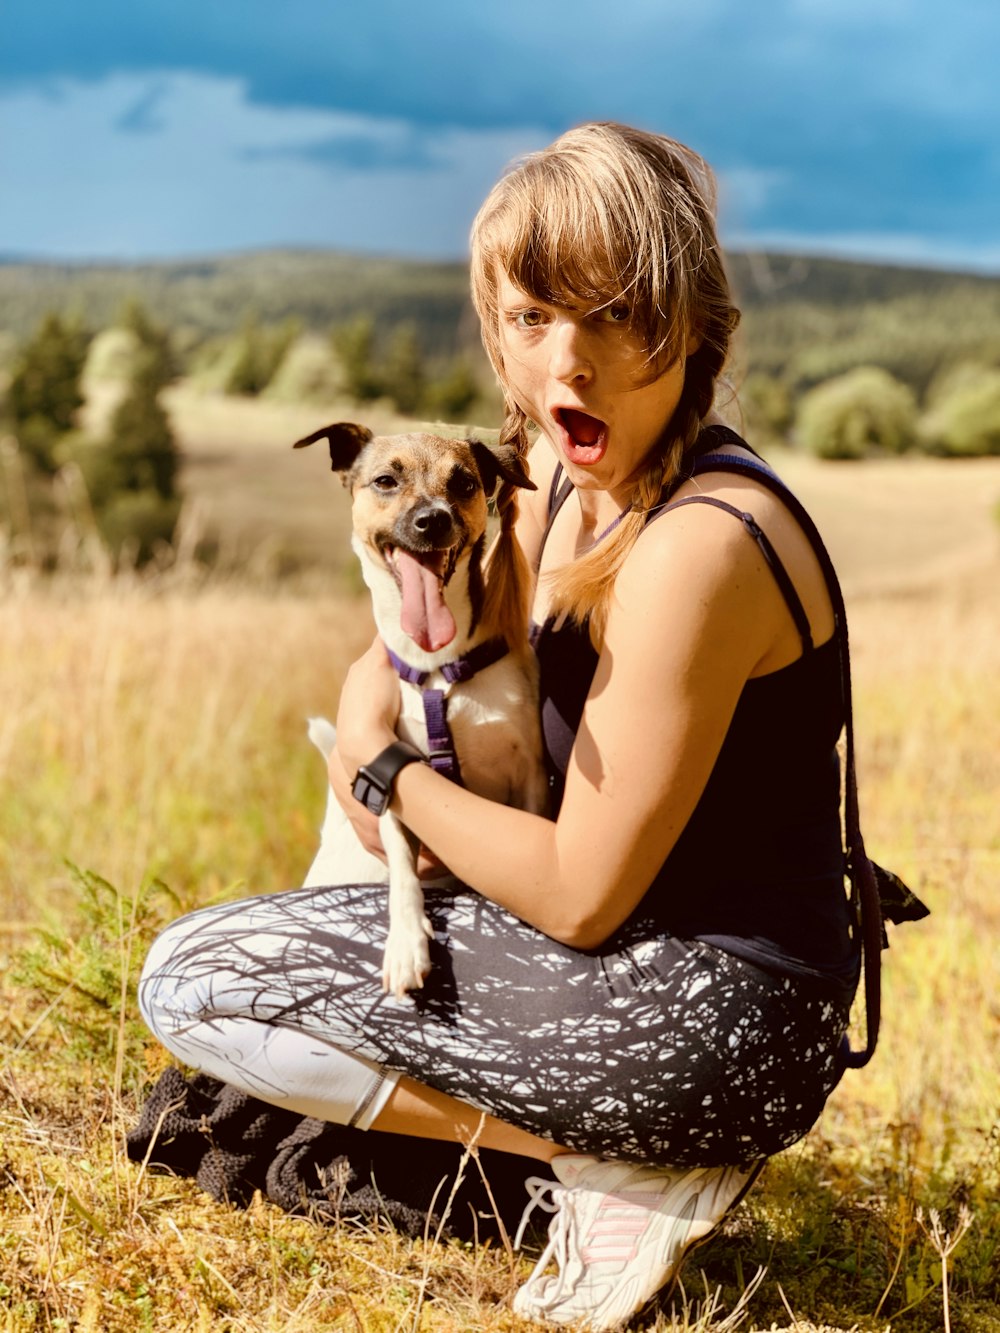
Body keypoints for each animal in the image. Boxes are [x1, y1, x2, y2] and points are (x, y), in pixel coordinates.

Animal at [293, 421, 552, 997]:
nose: (432, 519)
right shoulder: (393, 781)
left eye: (465, 484)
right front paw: (406, 942)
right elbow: (403, 872)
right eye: (386, 481)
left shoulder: (529, 773)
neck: (438, 670)